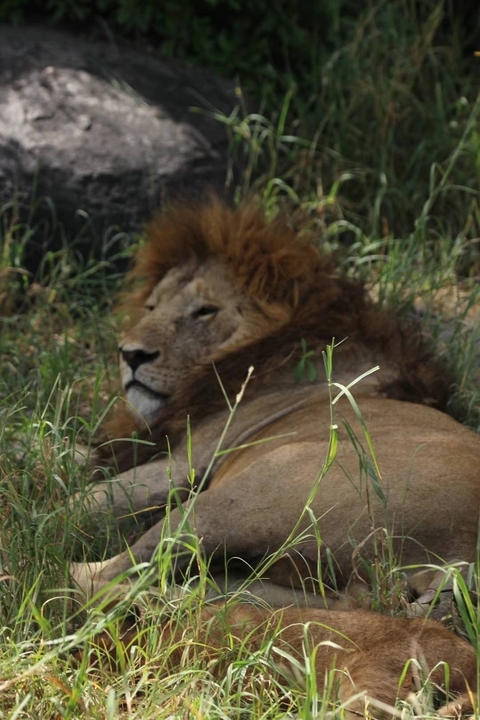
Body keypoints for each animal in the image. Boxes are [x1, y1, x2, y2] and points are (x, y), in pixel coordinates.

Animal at [71, 196, 480, 613]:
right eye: (152, 307)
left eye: (205, 310)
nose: (130, 354)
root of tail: (461, 558)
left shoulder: (182, 462)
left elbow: (81, 495)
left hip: (236, 497)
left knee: (93, 575)